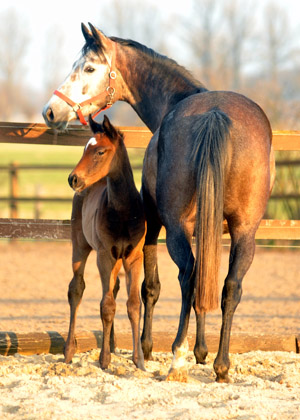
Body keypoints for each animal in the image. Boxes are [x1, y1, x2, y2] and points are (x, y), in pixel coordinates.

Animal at [65, 115, 146, 370]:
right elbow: (106, 306)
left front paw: (139, 360)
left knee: (114, 288)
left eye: (100, 151)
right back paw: (69, 352)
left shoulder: (133, 256)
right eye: (84, 148)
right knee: (76, 289)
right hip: (80, 247)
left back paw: (110, 344)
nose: (73, 178)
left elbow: (133, 304)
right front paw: (104, 359)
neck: (123, 212)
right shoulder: (104, 255)